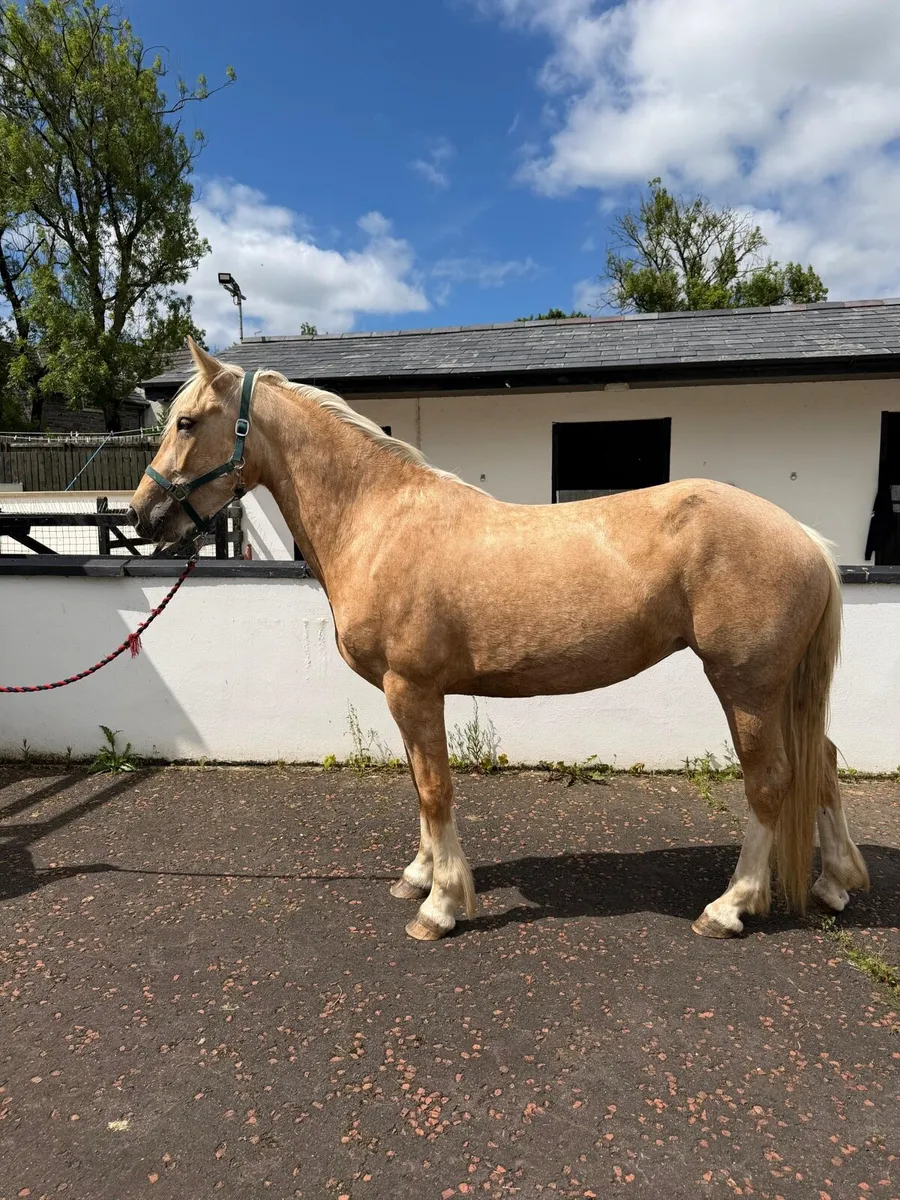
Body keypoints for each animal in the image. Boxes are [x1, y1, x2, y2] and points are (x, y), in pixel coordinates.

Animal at [128, 339, 870, 942]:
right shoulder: (408, 696)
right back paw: (835, 883)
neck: (379, 520)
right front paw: (420, 876)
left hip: (746, 687)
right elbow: (418, 781)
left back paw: (730, 907)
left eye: (186, 422)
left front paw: (441, 907)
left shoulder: (413, 688)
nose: (142, 516)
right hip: (780, 689)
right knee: (824, 763)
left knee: (771, 782)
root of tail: (806, 539)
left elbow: (434, 788)